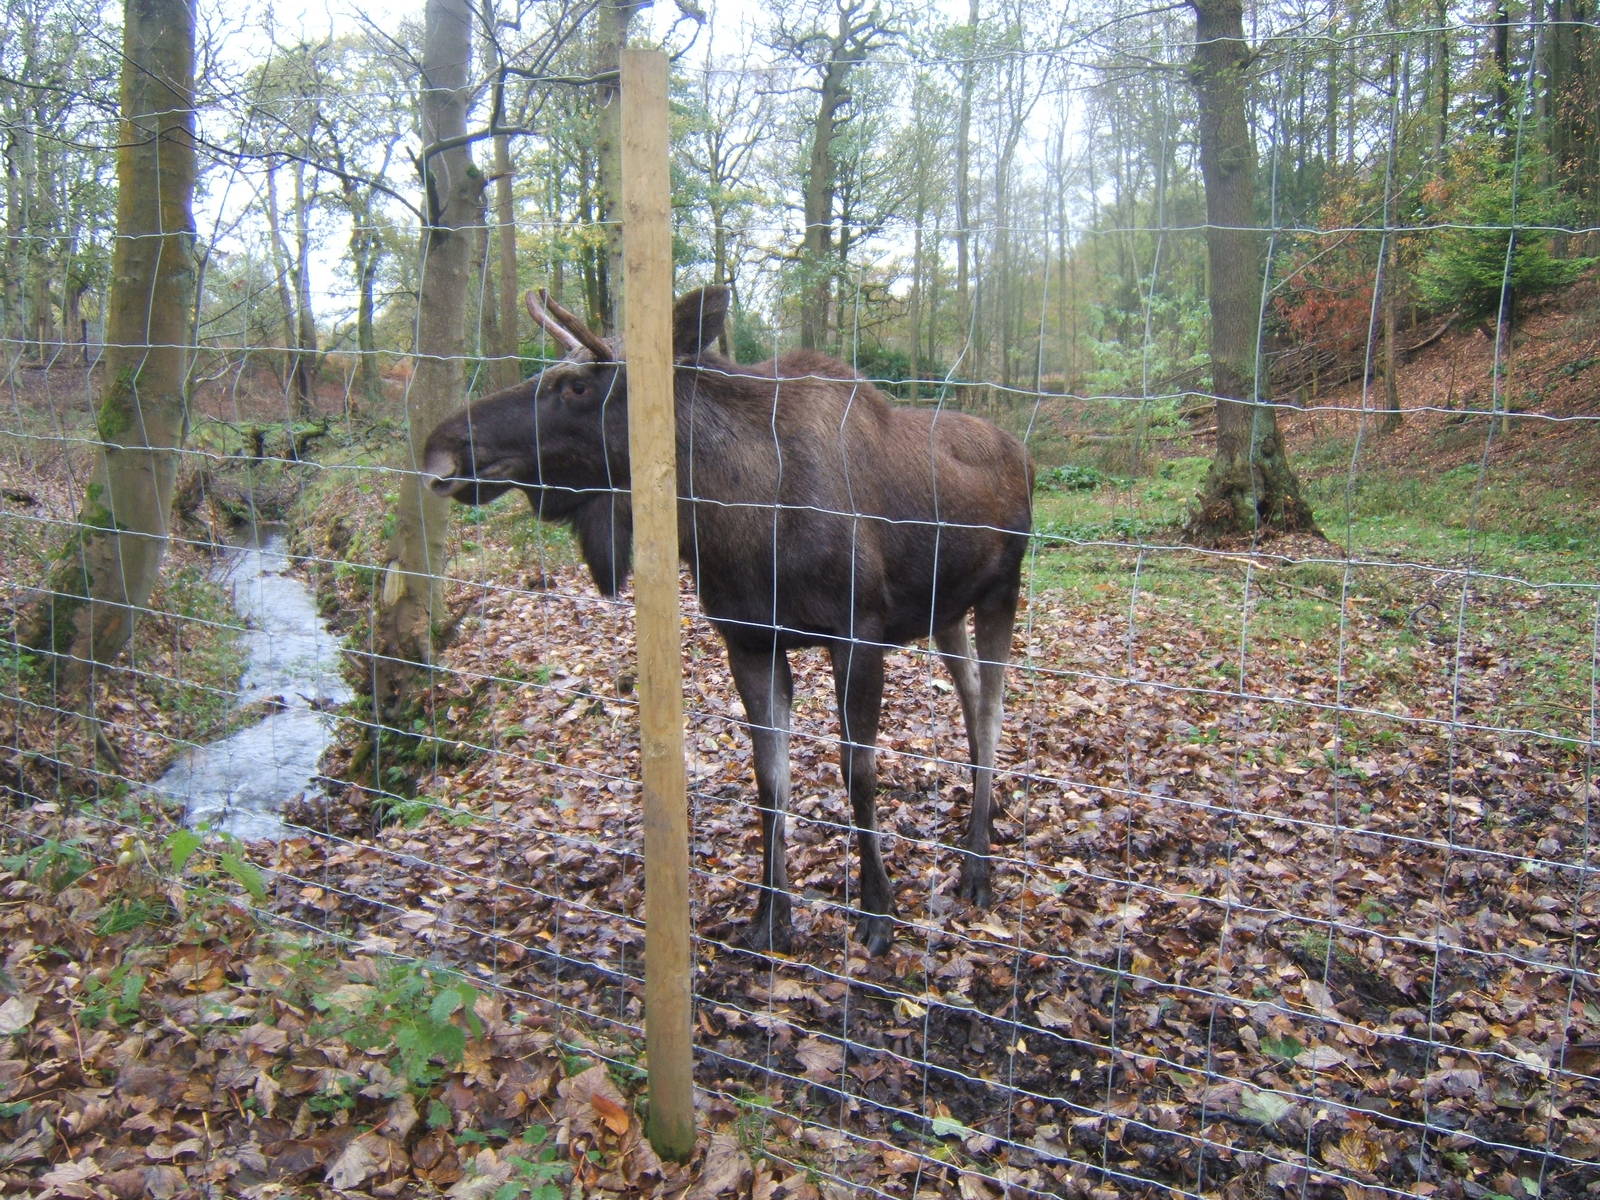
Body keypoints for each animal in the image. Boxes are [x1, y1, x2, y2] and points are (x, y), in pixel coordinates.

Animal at [423, 287, 1033, 955]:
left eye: (577, 387)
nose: (441, 448)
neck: (731, 515)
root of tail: (1025, 454)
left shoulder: (858, 633)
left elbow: (858, 774)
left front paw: (876, 910)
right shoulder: (749, 642)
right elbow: (770, 782)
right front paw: (771, 915)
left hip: (1002, 591)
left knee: (993, 712)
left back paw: (978, 865)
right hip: (944, 611)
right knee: (972, 702)